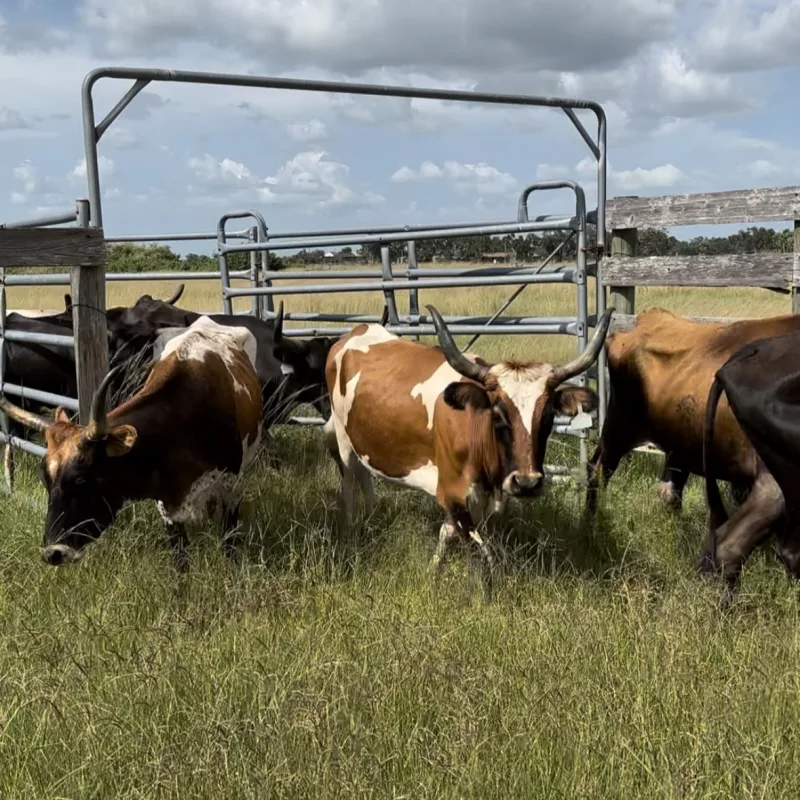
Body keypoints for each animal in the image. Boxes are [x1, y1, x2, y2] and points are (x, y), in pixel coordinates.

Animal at [0, 316, 260, 572]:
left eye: (81, 479)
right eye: (44, 479)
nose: (53, 553)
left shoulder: (232, 485)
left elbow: (229, 541)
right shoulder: (167, 505)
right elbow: (180, 557)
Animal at [322, 304, 616, 600]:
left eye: (547, 417)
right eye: (498, 414)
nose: (526, 483)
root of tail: (355, 332)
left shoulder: (480, 498)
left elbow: (449, 531)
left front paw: (433, 571)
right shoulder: (451, 491)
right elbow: (481, 553)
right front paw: (486, 595)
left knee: (364, 476)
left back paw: (371, 516)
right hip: (343, 440)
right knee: (349, 483)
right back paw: (352, 530)